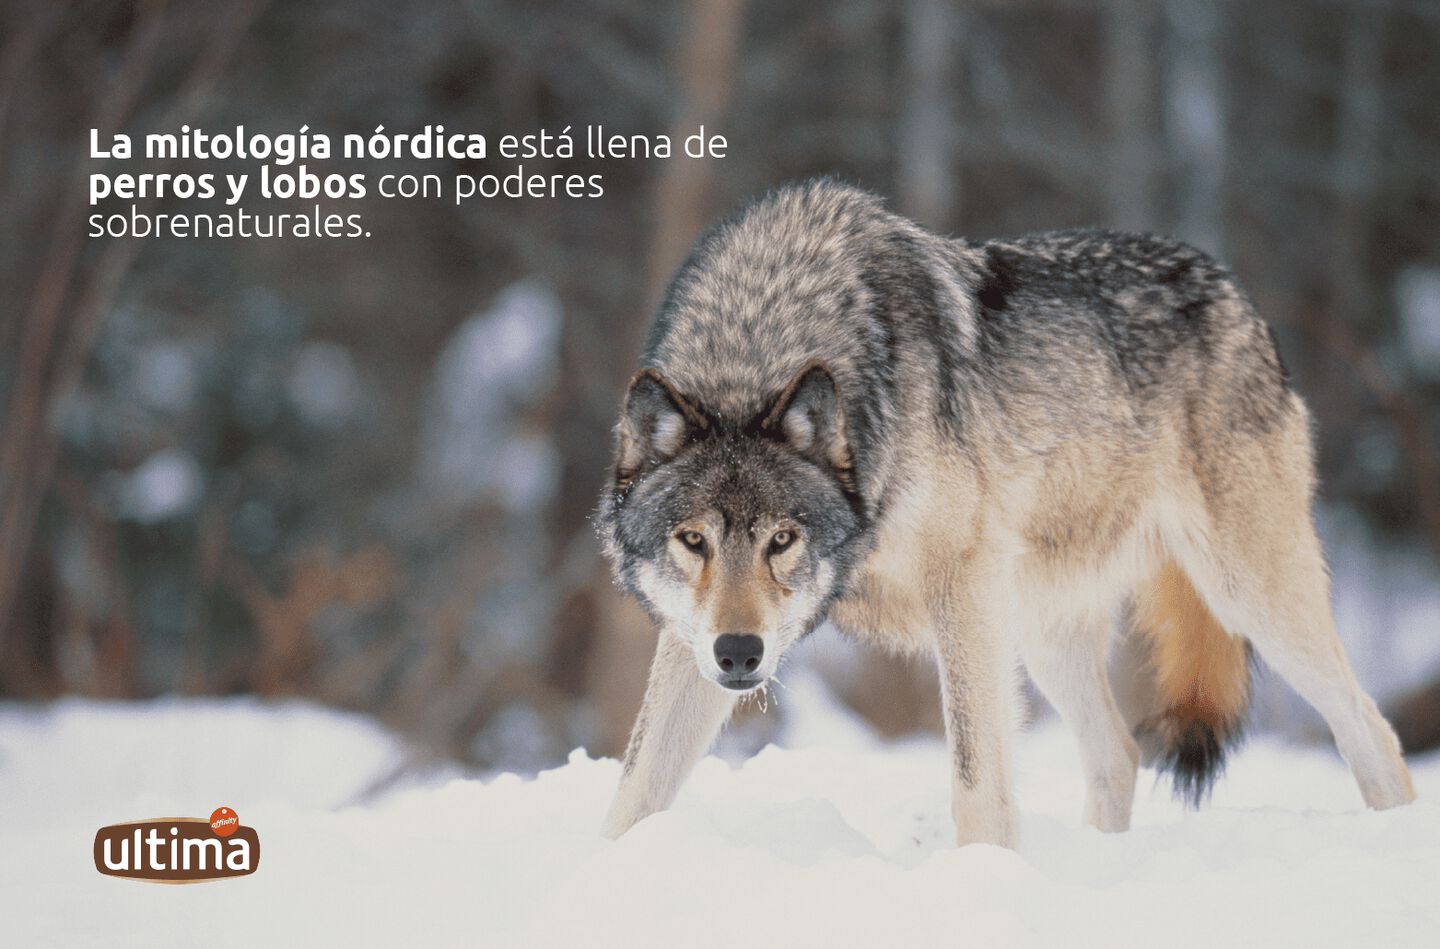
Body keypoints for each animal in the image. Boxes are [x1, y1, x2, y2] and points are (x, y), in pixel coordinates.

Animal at [597, 178, 1415, 847]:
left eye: (782, 539)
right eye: (693, 540)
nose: (740, 653)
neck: (762, 336)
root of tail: (1233, 288)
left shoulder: (962, 587)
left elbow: (975, 780)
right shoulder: (689, 638)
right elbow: (634, 789)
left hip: (1248, 598)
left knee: (1373, 732)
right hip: (1044, 631)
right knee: (1119, 755)